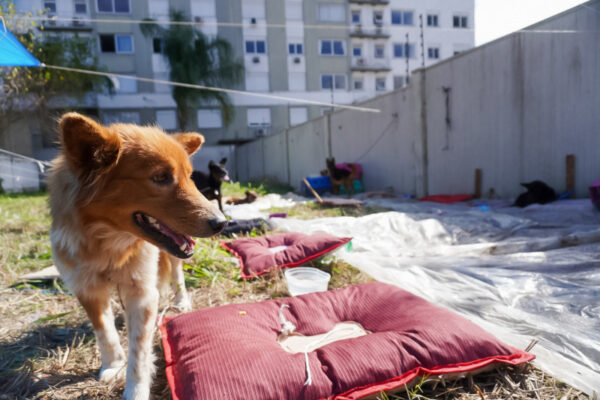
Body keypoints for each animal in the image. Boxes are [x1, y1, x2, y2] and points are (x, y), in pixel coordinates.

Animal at [48, 113, 226, 400]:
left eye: (190, 177)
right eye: (161, 177)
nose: (221, 222)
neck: (108, 242)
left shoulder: (141, 293)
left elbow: (139, 351)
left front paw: (135, 389)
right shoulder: (87, 288)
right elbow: (104, 331)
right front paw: (112, 364)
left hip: (173, 258)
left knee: (177, 275)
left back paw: (181, 301)